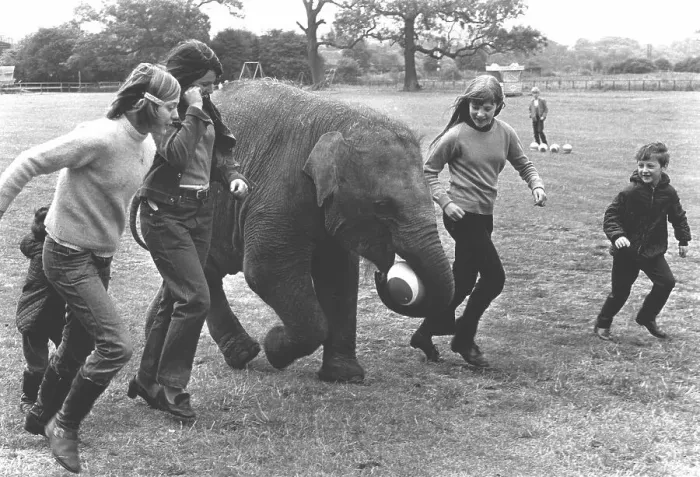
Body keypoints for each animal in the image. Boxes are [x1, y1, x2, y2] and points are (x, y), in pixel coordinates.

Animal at [134, 80, 454, 383]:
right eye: (383, 206)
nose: (384, 274)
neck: (339, 124)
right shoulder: (280, 192)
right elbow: (266, 270)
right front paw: (274, 346)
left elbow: (338, 276)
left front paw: (345, 377)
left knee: (198, 275)